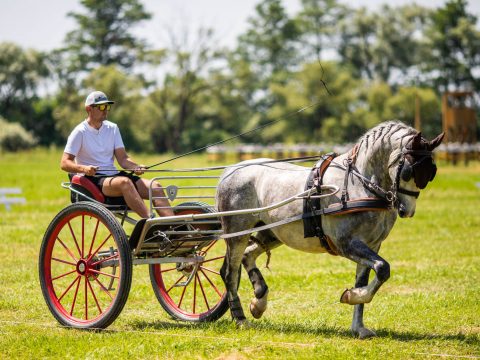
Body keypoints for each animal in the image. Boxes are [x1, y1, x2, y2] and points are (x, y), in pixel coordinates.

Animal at [216, 121, 444, 338]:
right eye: (407, 171)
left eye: (431, 173)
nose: (407, 211)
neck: (358, 184)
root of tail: (229, 171)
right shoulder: (346, 244)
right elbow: (382, 268)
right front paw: (351, 296)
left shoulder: (372, 245)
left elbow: (365, 279)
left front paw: (358, 325)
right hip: (238, 232)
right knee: (229, 272)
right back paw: (240, 318)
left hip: (273, 233)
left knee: (248, 256)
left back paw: (259, 301)